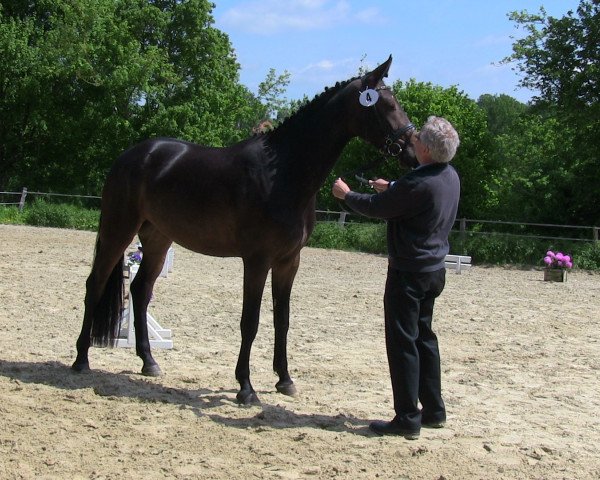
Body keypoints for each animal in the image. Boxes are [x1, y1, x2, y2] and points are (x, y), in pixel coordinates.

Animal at [71, 55, 418, 404]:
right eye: (388, 104)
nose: (412, 153)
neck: (283, 173)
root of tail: (131, 155)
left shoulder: (289, 261)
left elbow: (282, 320)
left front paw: (285, 380)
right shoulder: (257, 260)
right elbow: (249, 321)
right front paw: (246, 388)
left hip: (157, 239)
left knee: (140, 291)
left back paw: (149, 362)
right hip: (118, 230)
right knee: (94, 285)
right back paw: (81, 359)